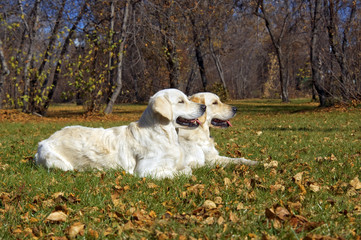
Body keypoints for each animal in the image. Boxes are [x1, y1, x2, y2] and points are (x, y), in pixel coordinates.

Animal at [36, 89, 207, 179]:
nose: (204, 107)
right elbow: (180, 172)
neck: (163, 133)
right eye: (180, 101)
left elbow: (187, 168)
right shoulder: (145, 171)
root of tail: (43, 141)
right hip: (60, 164)